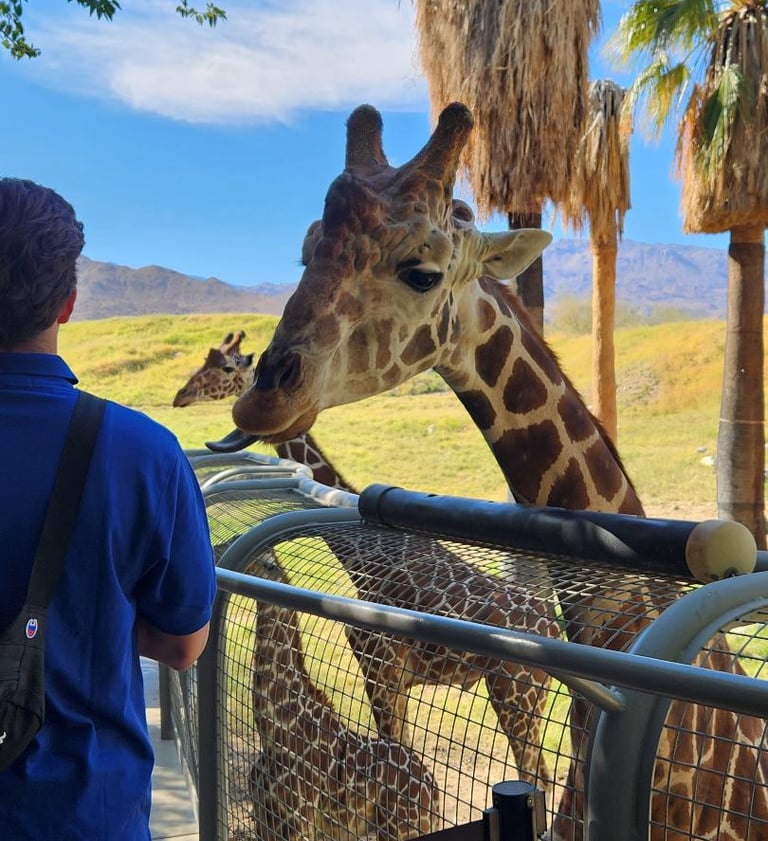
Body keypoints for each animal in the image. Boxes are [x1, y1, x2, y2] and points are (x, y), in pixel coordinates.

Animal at [176, 329, 560, 795]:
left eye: (225, 367)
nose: (180, 395)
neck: (358, 556)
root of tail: (553, 624)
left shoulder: (381, 668)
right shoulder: (393, 679)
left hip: (515, 691)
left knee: (537, 774)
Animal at [249, 551, 441, 841]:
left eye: (264, 563)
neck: (274, 732)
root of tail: (436, 794)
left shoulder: (298, 822)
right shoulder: (264, 821)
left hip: (400, 829)